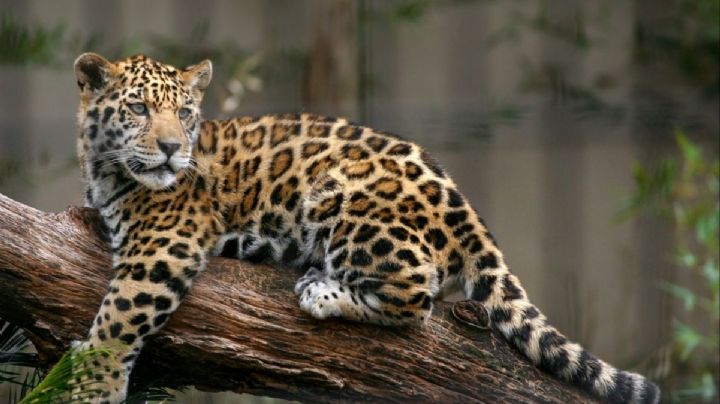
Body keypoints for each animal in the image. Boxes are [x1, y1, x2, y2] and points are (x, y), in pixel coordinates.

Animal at [64, 52, 660, 403]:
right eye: (139, 109)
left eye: (185, 114)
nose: (171, 148)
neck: (104, 167)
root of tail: (464, 205)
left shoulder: (166, 244)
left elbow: (119, 316)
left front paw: (90, 384)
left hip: (344, 198)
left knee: (417, 298)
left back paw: (323, 291)